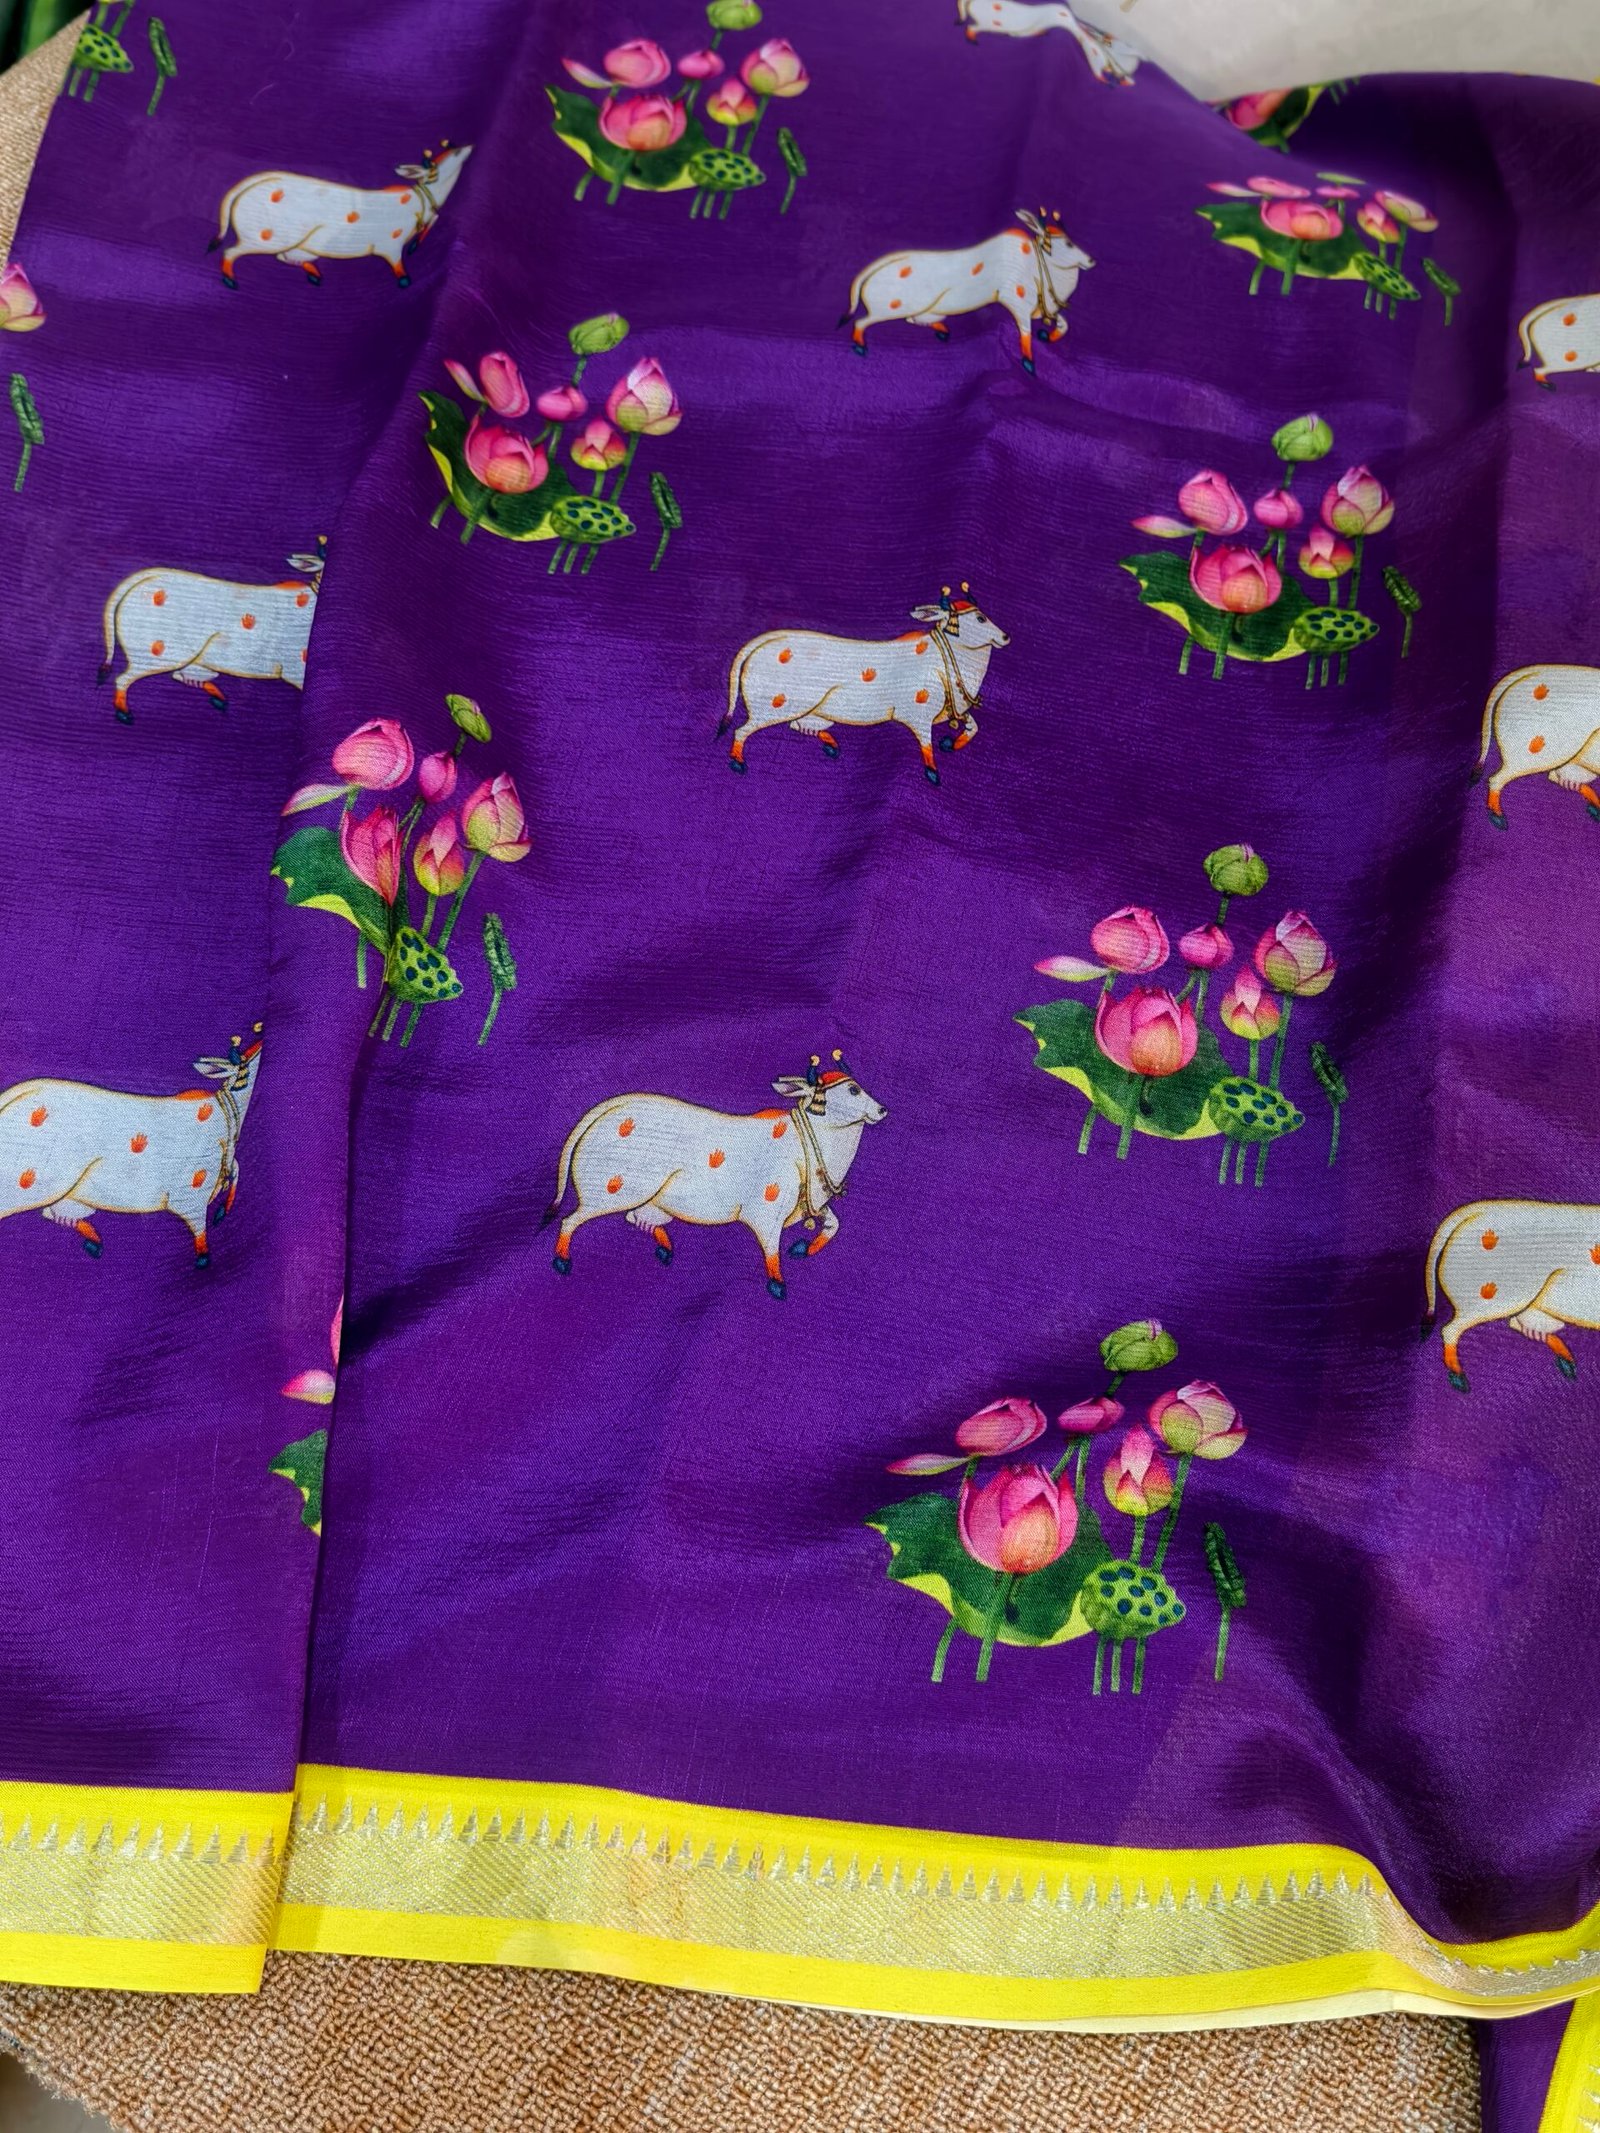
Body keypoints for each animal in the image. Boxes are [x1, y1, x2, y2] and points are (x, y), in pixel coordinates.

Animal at [99, 544, 324, 723]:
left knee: (181, 676)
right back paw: (124, 714)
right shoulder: (295, 666)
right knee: (125, 678)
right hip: (158, 652)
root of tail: (147, 576)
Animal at [209, 140, 473, 289]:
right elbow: (400, 269)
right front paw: (404, 279)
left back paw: (315, 276)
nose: (470, 146)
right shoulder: (390, 245)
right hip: (266, 235)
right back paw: (230, 281)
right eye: (455, 153)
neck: (420, 201)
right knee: (232, 251)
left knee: (285, 258)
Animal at [544, 1055, 887, 1299]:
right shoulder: (766, 1213)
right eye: (853, 1090)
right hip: (612, 1189)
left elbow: (833, 1225)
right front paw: (778, 1284)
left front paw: (804, 1248)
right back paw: (562, 1261)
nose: (883, 1110)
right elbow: (772, 1251)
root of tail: (608, 1108)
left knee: (635, 1217)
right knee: (571, 1220)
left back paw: (664, 1247)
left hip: (650, 1199)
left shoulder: (812, 1205)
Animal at [719, 586, 1011, 783]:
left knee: (798, 726)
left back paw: (830, 744)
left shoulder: (954, 710)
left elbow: (973, 726)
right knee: (743, 730)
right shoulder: (918, 714)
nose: (1006, 637)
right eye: (980, 619)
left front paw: (953, 743)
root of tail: (763, 641)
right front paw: (932, 772)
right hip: (775, 704)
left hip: (812, 711)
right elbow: (926, 744)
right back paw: (737, 762)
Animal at [843, 210, 1094, 371]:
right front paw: (1028, 362)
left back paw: (943, 331)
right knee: (862, 322)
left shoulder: (1043, 309)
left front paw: (1048, 335)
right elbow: (1025, 333)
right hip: (889, 308)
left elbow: (1063, 325)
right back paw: (860, 347)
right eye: (1068, 244)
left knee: (914, 320)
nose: (1091, 260)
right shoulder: (1018, 303)